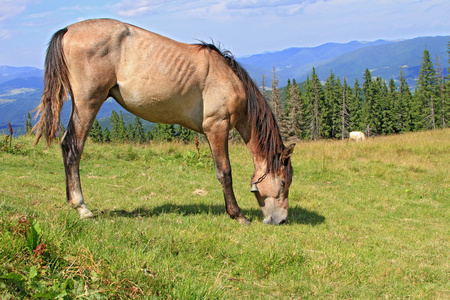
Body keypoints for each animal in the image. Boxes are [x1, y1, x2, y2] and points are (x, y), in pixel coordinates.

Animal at [35, 18, 296, 225]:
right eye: (284, 182)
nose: (281, 220)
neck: (229, 79)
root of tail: (67, 30)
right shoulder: (217, 127)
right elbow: (225, 172)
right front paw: (237, 214)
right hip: (88, 102)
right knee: (73, 147)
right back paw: (82, 207)